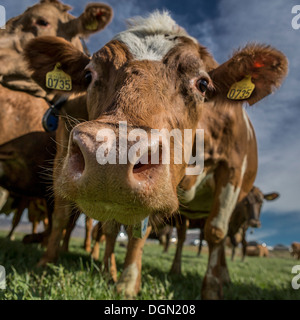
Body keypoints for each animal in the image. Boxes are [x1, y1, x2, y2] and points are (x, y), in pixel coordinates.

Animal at [24, 10, 288, 300]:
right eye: (88, 75)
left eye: (203, 83)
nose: (110, 157)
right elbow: (133, 229)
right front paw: (126, 282)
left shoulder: (232, 169)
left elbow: (216, 232)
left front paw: (211, 290)